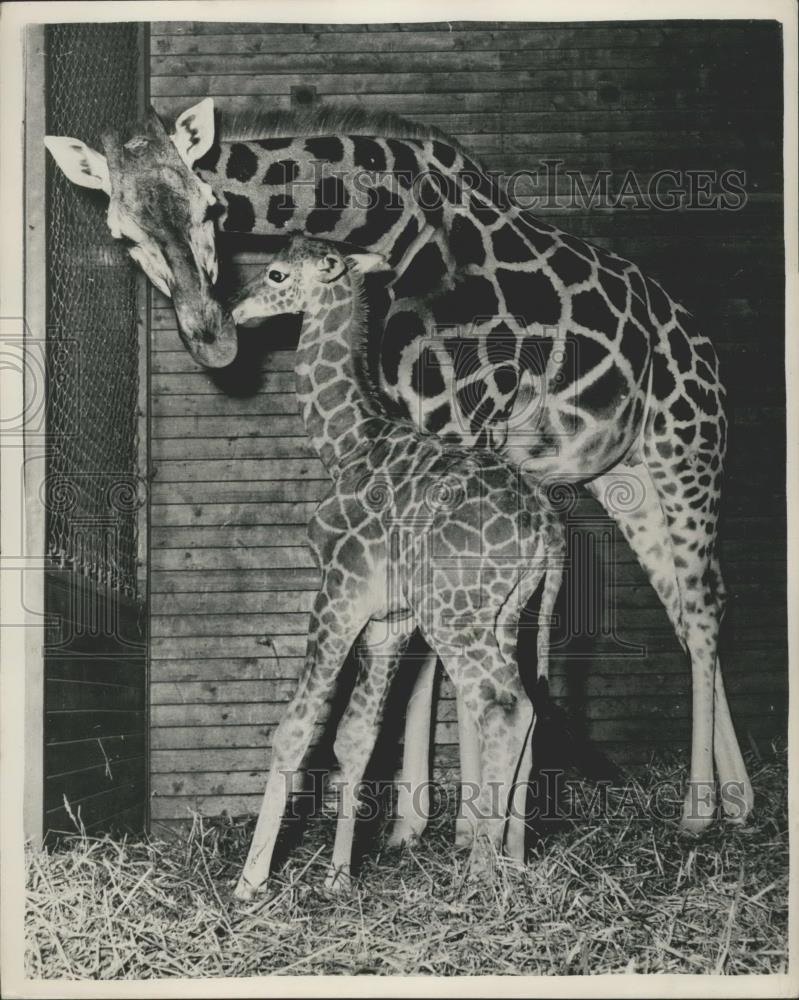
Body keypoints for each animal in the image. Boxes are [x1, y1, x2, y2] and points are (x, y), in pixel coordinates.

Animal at [229, 236, 566, 898]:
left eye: (276, 273)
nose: (236, 310)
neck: (346, 444)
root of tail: (547, 531)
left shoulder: (338, 592)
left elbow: (295, 730)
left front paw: (250, 883)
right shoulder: (391, 620)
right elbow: (356, 738)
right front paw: (339, 876)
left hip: (454, 615)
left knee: (506, 706)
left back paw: (479, 872)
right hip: (507, 614)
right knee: (532, 709)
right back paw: (513, 861)